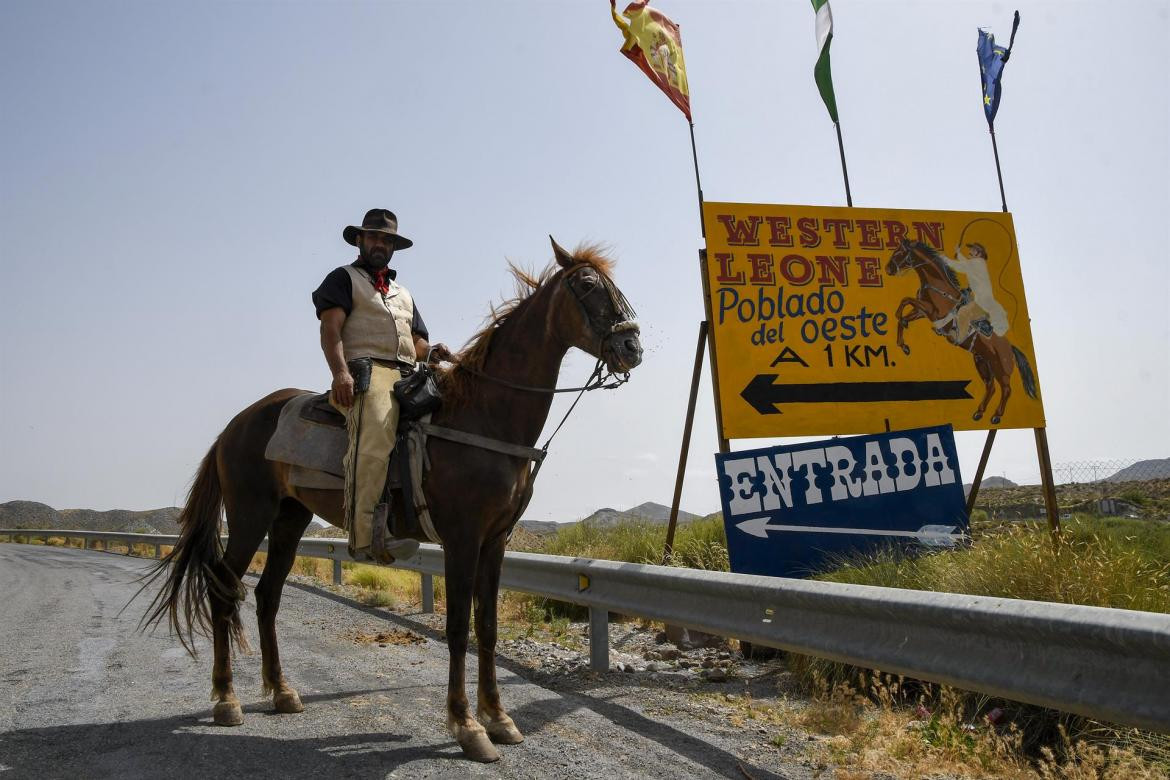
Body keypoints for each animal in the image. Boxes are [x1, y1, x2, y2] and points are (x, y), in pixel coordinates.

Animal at [143, 238, 650, 762]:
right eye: (588, 285)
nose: (632, 347)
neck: (483, 417)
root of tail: (234, 425)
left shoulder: (496, 540)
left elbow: (487, 627)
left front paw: (499, 718)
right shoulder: (462, 538)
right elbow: (457, 628)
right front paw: (467, 726)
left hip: (289, 519)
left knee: (267, 596)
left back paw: (282, 692)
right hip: (249, 516)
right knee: (224, 590)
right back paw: (227, 699)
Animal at [879, 239, 1038, 428]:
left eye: (899, 252)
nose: (888, 269)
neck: (939, 287)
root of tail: (1010, 347)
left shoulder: (932, 312)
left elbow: (905, 301)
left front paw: (900, 320)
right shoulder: (923, 312)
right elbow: (905, 313)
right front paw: (903, 345)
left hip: (1001, 368)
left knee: (1006, 389)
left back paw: (997, 416)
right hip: (982, 363)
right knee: (990, 386)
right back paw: (979, 412)